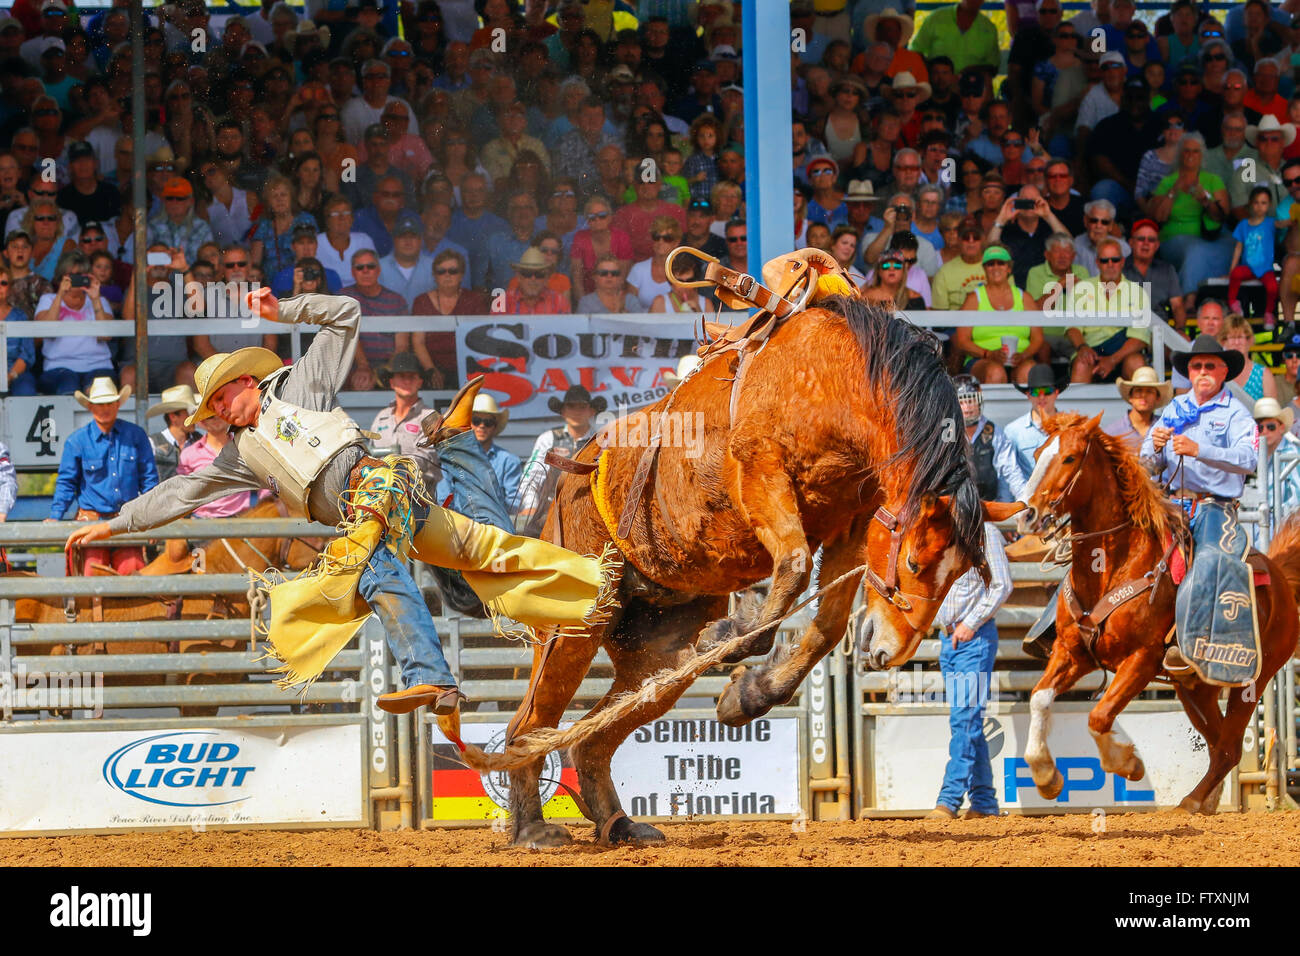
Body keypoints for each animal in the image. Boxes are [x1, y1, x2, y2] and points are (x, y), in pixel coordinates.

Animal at [452, 295, 1020, 847]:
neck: (838, 379)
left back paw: (619, 824)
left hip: (655, 654)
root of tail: (575, 470)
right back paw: (532, 829)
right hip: (575, 624)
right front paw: (735, 635)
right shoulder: (761, 472)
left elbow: (828, 624)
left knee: (593, 737)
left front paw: (749, 695)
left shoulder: (853, 524)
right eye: (914, 561)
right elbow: (792, 566)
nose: (891, 650)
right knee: (530, 723)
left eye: (962, 575)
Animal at [1014, 413, 1300, 813]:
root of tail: (1279, 576)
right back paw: (1206, 801)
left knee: (1229, 746)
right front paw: (1046, 776)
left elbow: (1099, 715)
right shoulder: (1073, 652)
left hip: (1251, 681)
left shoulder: (1142, 659)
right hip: (1195, 688)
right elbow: (1039, 700)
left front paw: (1128, 764)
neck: (1113, 564)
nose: (1026, 515)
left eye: (1069, 458)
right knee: (1220, 744)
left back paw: (1191, 802)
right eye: (1038, 453)